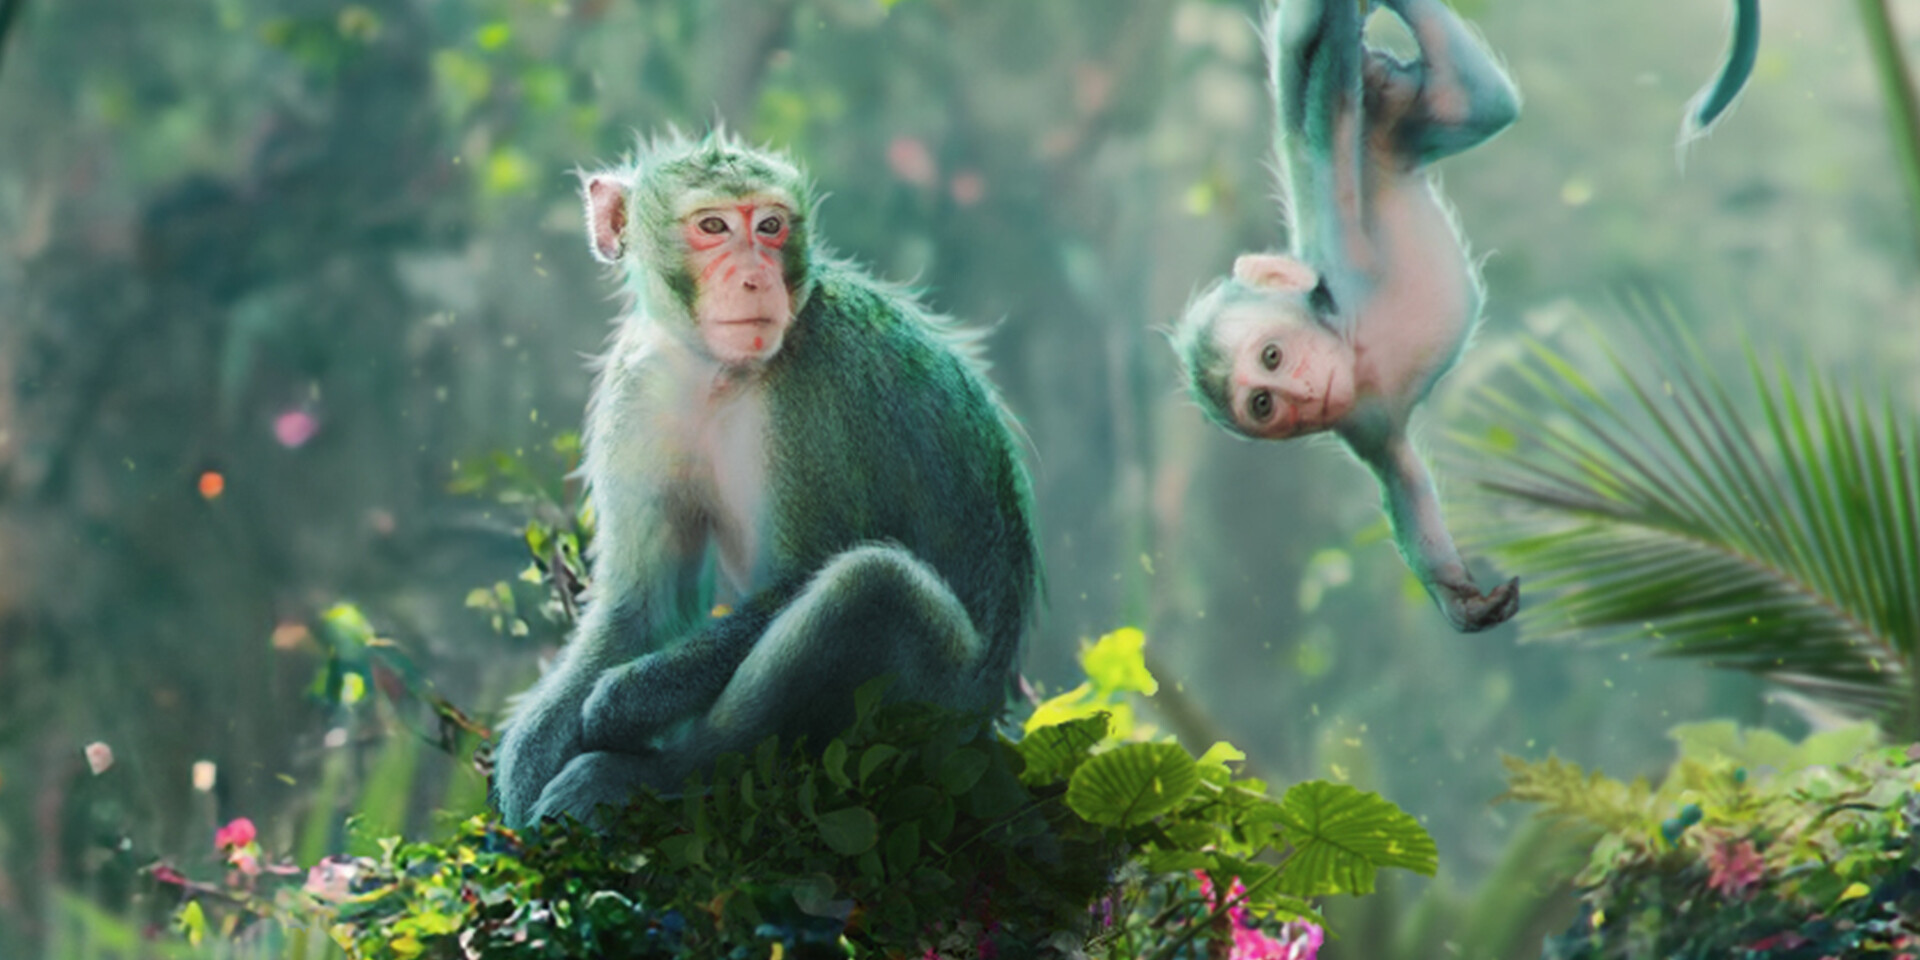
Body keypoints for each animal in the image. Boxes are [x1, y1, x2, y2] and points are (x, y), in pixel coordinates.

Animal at [490, 131, 1040, 828]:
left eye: (772, 226)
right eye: (714, 227)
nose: (756, 278)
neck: (720, 373)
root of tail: (986, 721)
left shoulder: (817, 390)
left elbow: (801, 574)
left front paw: (620, 706)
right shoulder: (636, 387)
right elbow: (641, 606)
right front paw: (528, 759)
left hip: (938, 709)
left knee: (873, 587)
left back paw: (665, 774)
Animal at [1169, 0, 1520, 633]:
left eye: (1273, 356)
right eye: (1265, 404)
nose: (1305, 393)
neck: (1355, 345)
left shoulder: (1344, 249)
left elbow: (1326, 108)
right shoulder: (1362, 419)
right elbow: (1402, 473)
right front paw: (1461, 599)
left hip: (1381, 108)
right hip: (1406, 120)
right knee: (1471, 105)